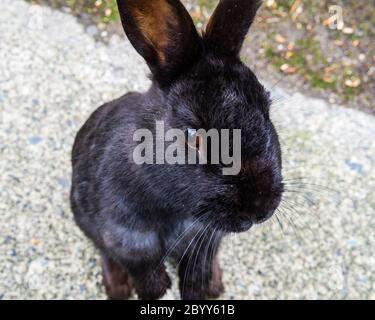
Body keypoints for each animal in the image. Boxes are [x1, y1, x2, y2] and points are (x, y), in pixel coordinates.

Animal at [70, 0, 284, 300]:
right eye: (194, 138)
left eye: (267, 109)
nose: (260, 209)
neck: (178, 210)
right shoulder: (128, 240)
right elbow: (144, 273)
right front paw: (155, 291)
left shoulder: (203, 240)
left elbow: (195, 273)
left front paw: (201, 290)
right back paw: (117, 289)